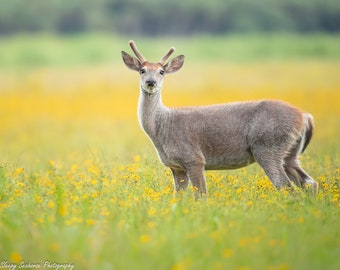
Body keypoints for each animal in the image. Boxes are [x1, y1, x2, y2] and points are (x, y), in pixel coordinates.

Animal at [122, 39, 318, 197]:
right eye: (142, 70)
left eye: (162, 71)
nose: (151, 82)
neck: (162, 126)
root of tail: (306, 117)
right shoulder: (176, 167)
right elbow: (177, 198)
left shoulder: (194, 158)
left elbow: (201, 196)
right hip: (290, 154)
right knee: (310, 184)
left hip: (268, 147)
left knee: (287, 187)